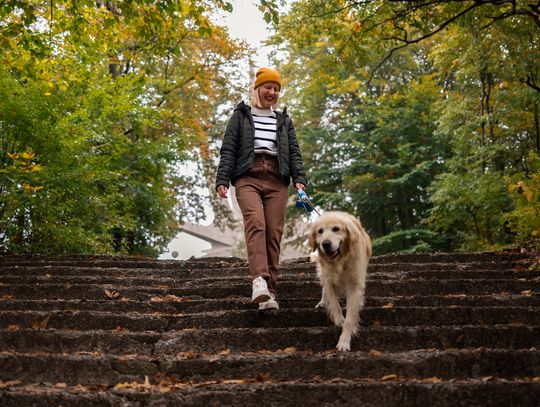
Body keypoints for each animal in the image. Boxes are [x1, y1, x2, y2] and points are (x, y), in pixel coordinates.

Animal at [308, 212, 372, 352]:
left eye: (336, 229)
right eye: (320, 231)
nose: (326, 244)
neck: (340, 261)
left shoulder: (355, 285)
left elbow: (349, 319)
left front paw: (344, 342)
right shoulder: (329, 280)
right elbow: (334, 303)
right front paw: (339, 320)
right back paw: (322, 302)